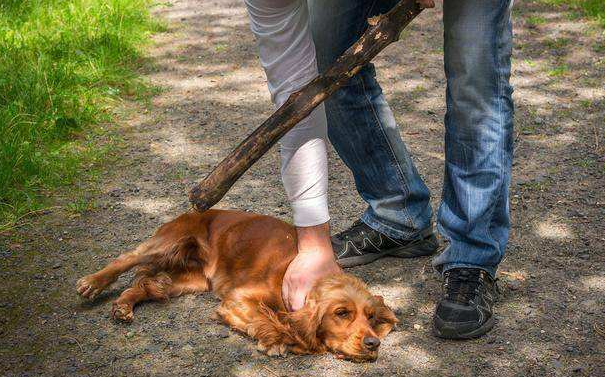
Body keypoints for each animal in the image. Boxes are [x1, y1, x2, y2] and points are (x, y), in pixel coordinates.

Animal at [74, 210, 396, 360]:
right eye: (341, 313)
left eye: (371, 317)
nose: (373, 344)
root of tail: (193, 211)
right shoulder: (237, 298)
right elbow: (268, 319)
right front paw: (280, 340)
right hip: (169, 241)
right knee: (127, 258)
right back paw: (92, 282)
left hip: (191, 280)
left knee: (149, 285)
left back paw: (122, 306)